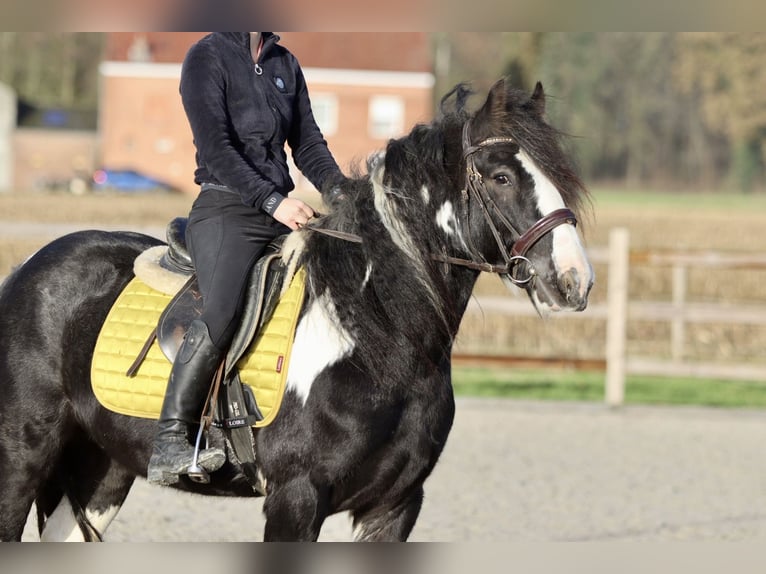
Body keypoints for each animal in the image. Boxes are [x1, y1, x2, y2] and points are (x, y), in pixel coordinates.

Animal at [0, 77, 592, 544]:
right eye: (500, 176)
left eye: (559, 173)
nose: (575, 281)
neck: (376, 335)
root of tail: (28, 270)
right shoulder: (296, 498)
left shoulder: (396, 506)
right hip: (21, 460)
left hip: (102, 470)